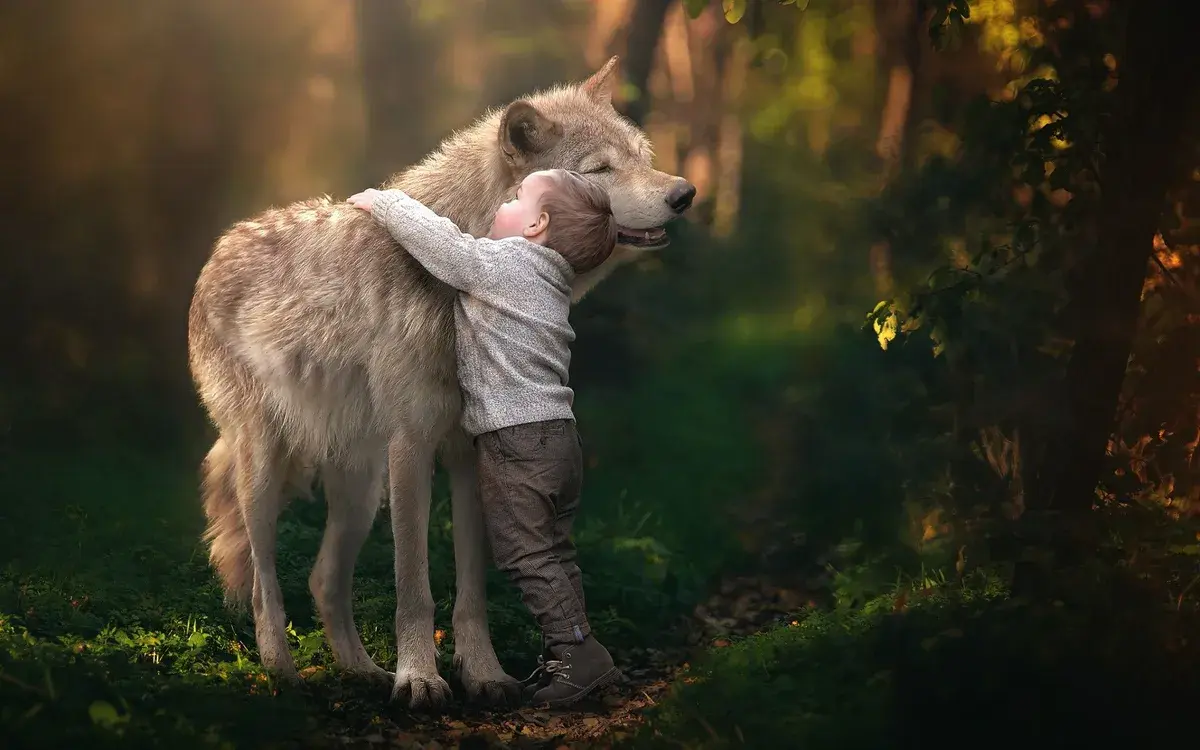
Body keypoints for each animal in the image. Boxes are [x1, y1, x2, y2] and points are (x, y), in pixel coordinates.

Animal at [186, 56, 695, 709]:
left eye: (639, 155)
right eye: (601, 171)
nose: (684, 193)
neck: (460, 283)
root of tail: (218, 249)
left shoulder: (470, 453)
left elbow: (471, 590)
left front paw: (483, 674)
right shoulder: (413, 446)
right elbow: (414, 587)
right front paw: (420, 680)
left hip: (360, 487)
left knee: (323, 578)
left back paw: (362, 673)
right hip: (266, 471)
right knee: (263, 579)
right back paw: (282, 674)